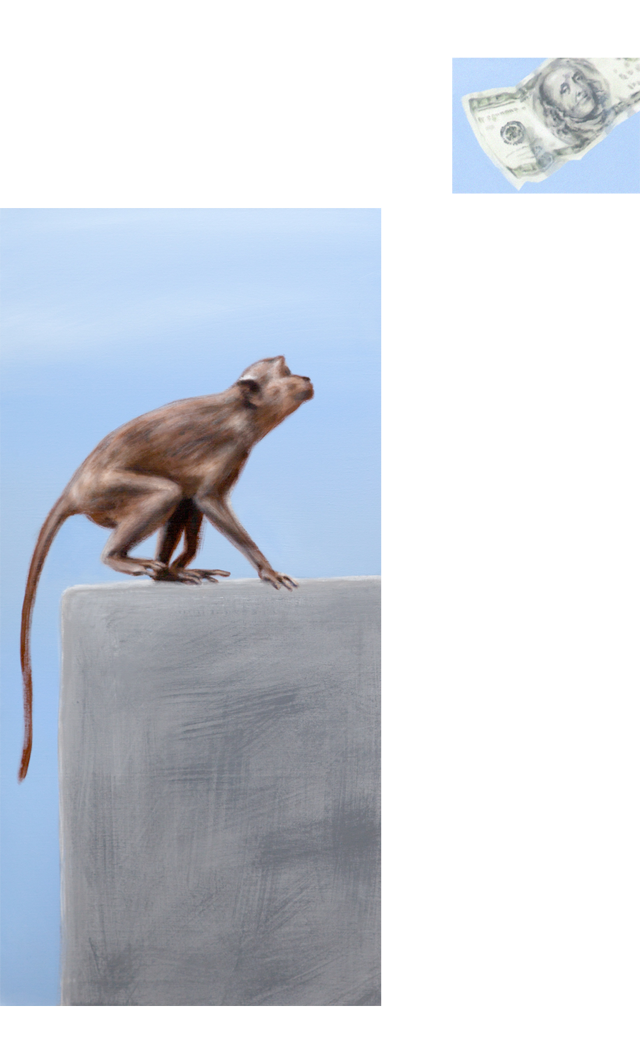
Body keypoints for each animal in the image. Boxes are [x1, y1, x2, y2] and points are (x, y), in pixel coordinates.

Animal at [19, 356, 313, 782]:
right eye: (286, 372)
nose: (304, 377)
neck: (242, 412)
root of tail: (74, 487)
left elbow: (192, 505)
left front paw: (177, 568)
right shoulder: (228, 449)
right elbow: (205, 499)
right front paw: (265, 569)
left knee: (175, 496)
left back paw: (164, 571)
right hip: (105, 492)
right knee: (166, 493)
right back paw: (120, 558)